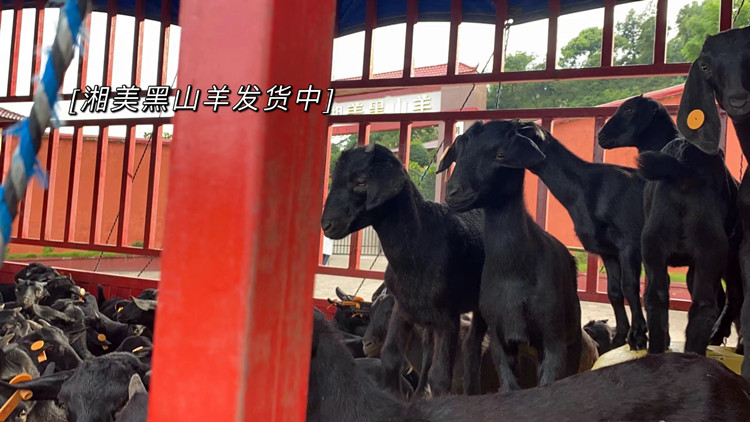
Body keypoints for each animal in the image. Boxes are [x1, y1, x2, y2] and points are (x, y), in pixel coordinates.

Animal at [321, 143, 485, 396]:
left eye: (361, 181)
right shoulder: (402, 306)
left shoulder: (449, 315)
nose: (326, 224)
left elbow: (441, 377)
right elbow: (390, 357)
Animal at [438, 120, 581, 390]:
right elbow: (508, 386)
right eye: (458, 155)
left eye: (500, 155)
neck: (513, 274)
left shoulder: (552, 335)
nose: (453, 192)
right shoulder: (499, 335)